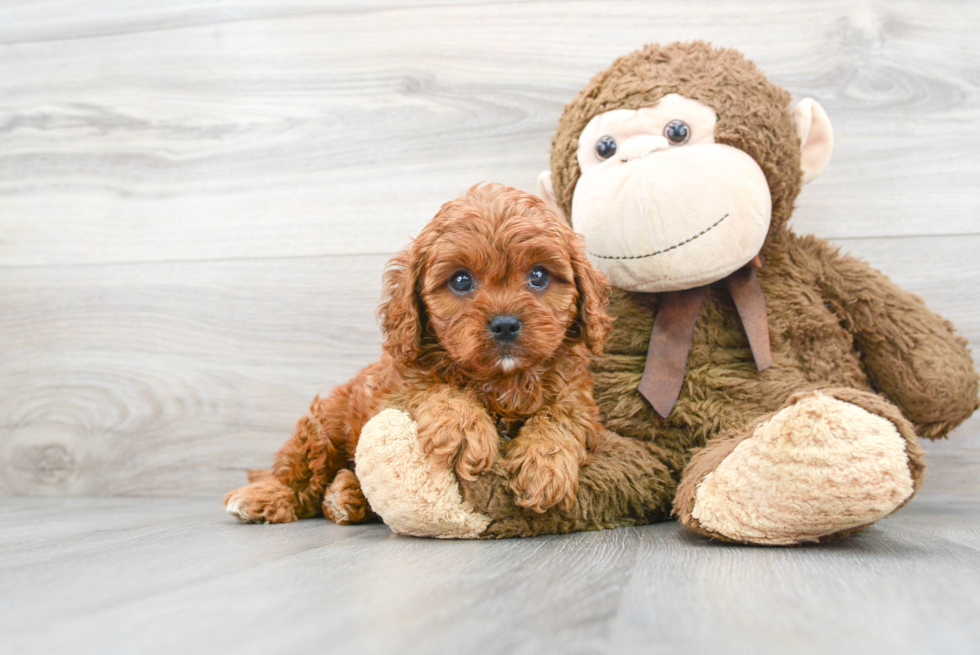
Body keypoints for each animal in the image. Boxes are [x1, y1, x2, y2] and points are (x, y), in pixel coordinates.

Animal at [225, 183, 608, 524]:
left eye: (539, 275)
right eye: (461, 280)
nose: (504, 324)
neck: (502, 379)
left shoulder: (578, 399)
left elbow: (559, 416)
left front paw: (544, 464)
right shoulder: (394, 388)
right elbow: (434, 388)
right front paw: (464, 427)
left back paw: (345, 496)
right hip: (322, 428)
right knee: (300, 475)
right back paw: (264, 497)